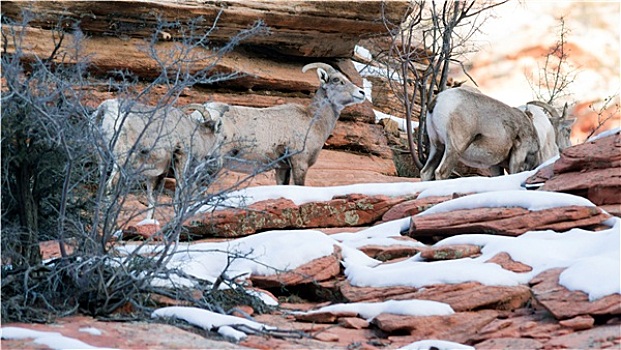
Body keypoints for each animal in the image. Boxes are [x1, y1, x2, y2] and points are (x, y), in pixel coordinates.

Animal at [94, 98, 223, 219]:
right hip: (120, 160)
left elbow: (152, 199)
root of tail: (106, 109)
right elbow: (179, 193)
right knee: (110, 186)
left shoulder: (157, 174)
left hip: (103, 160)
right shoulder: (180, 159)